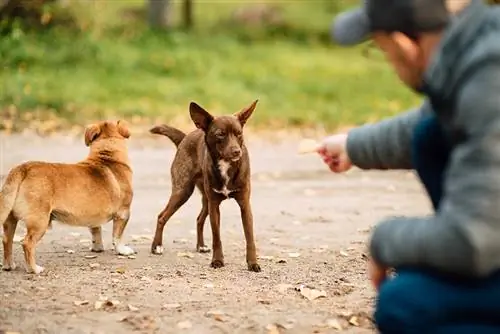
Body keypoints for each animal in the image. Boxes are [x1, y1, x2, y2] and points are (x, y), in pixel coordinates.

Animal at [0, 120, 134, 274]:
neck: (107, 156)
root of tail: (23, 168)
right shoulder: (123, 213)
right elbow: (117, 236)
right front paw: (122, 250)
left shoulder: (94, 217)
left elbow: (96, 231)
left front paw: (97, 248)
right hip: (40, 222)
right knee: (27, 243)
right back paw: (34, 269)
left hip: (10, 219)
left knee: (7, 240)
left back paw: (9, 265)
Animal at [150, 99, 262, 272]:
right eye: (220, 134)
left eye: (239, 133)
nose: (237, 152)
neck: (226, 165)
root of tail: (185, 137)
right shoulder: (215, 205)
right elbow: (217, 236)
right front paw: (217, 261)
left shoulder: (244, 205)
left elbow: (249, 238)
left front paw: (253, 263)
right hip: (183, 191)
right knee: (162, 216)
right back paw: (157, 246)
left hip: (205, 199)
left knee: (199, 219)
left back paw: (201, 246)